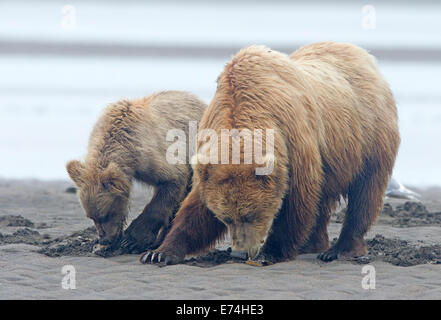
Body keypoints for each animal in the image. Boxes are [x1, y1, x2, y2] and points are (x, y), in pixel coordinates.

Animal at [140, 42, 398, 264]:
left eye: (251, 215)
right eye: (226, 217)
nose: (239, 253)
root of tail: (363, 55)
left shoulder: (294, 142)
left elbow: (297, 200)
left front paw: (271, 252)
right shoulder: (210, 152)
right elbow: (195, 209)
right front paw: (159, 252)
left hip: (370, 136)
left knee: (365, 193)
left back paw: (340, 249)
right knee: (324, 200)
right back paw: (313, 244)